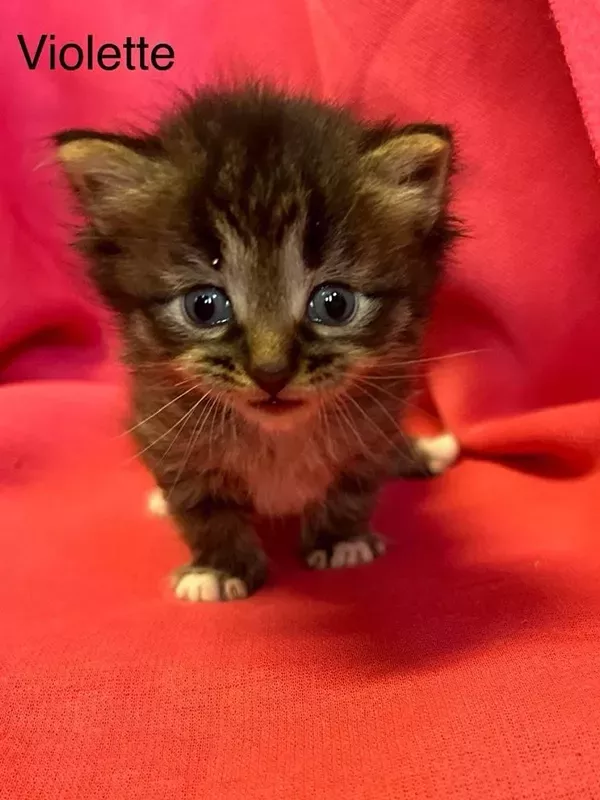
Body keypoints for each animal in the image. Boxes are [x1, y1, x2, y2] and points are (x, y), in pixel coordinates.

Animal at [55, 84, 460, 604]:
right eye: (205, 306)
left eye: (334, 304)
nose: (271, 372)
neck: (277, 439)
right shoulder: (162, 423)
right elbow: (198, 504)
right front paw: (218, 566)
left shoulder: (378, 415)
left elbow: (356, 484)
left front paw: (340, 539)